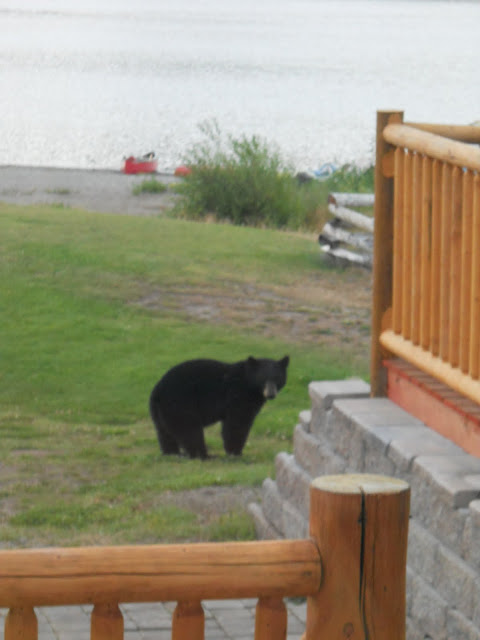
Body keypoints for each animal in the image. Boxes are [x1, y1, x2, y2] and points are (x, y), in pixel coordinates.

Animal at [148, 356, 288, 460]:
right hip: (180, 404)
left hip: (160, 411)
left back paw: (172, 453)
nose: (271, 394)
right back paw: (205, 456)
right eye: (262, 378)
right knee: (190, 431)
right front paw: (236, 453)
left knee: (164, 432)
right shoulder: (237, 396)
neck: (249, 385)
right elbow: (237, 423)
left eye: (277, 378)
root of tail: (157, 392)